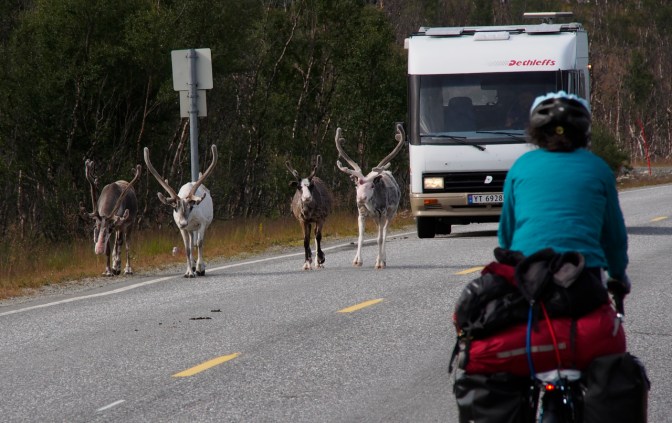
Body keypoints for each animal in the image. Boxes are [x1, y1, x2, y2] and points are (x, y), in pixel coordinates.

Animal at [143, 145, 217, 278]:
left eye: (191, 207)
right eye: (174, 208)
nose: (183, 223)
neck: (191, 219)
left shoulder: (202, 223)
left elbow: (200, 243)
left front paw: (200, 268)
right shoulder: (182, 228)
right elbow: (187, 248)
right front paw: (189, 272)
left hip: (203, 225)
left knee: (197, 242)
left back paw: (198, 266)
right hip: (189, 230)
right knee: (191, 244)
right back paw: (192, 265)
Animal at [335, 124, 405, 269]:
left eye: (372, 186)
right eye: (356, 185)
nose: (360, 199)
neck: (371, 206)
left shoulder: (382, 212)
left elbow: (379, 238)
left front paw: (379, 263)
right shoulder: (361, 213)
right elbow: (360, 236)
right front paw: (357, 261)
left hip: (391, 212)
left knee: (384, 232)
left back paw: (383, 259)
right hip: (375, 217)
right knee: (380, 231)